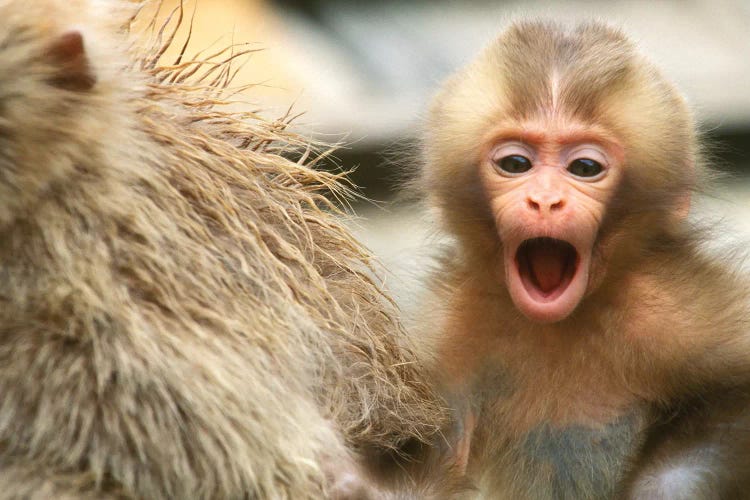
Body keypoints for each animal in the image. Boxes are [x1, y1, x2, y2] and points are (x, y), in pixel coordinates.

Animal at [414, 19, 750, 500]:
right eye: (515, 163)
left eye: (585, 168)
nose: (545, 201)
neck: (559, 327)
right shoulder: (446, 328)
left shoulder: (676, 305)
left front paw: (667, 485)